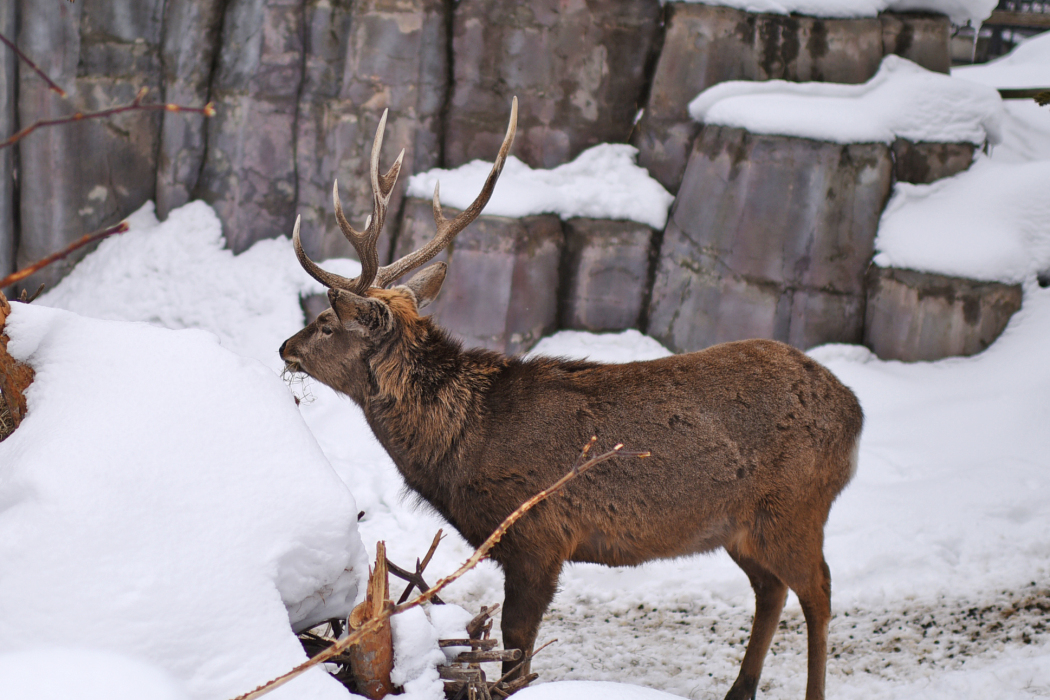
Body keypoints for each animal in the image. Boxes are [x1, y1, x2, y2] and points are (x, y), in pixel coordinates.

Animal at [279, 99, 860, 700]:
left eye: (326, 324)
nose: (285, 348)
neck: (462, 446)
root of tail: (855, 412)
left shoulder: (538, 533)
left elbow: (516, 641)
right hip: (741, 526)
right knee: (771, 590)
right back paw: (739, 688)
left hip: (797, 505)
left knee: (820, 590)